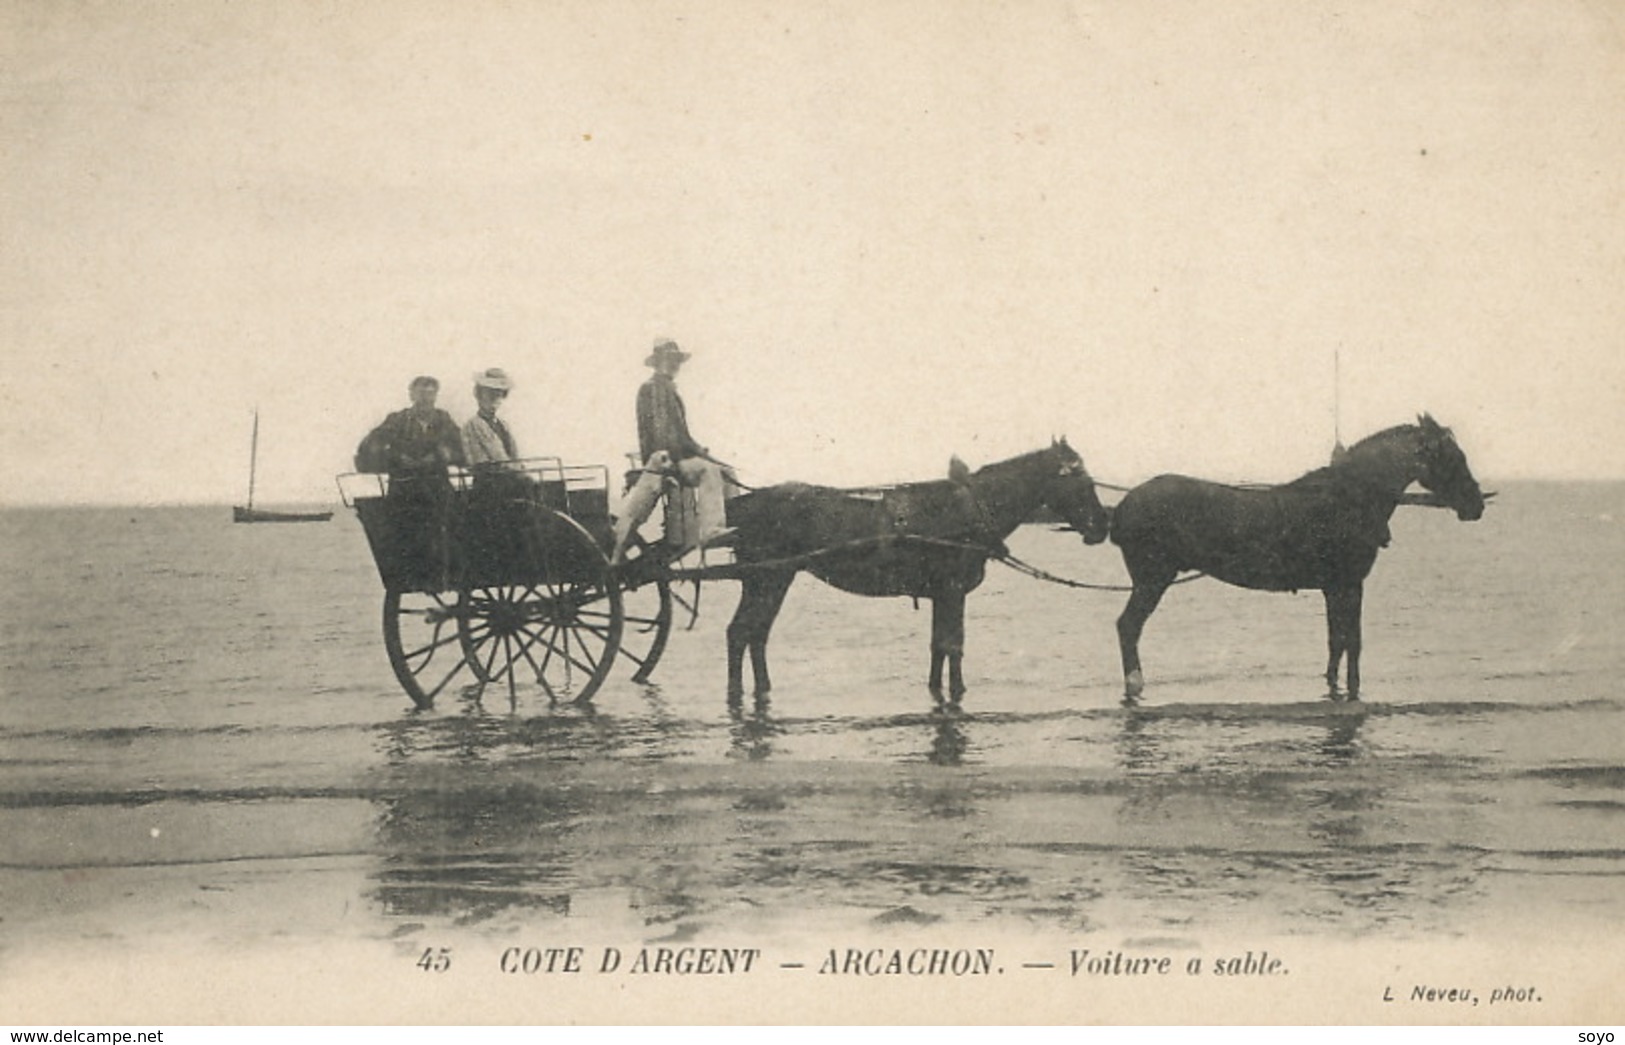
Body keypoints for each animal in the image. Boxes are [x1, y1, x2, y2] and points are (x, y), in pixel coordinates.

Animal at [728, 438, 1118, 698]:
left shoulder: (941, 595)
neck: (971, 509)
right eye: (1082, 482)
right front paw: (958, 690)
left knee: (754, 634)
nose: (1102, 526)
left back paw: (762, 688)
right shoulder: (953, 591)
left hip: (769, 578)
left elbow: (938, 645)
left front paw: (936, 688)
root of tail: (744, 503)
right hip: (769, 577)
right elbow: (954, 644)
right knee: (740, 632)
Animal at [1118, 416, 1488, 702]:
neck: (1349, 498)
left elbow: (1336, 641)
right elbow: (1353, 641)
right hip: (1152, 581)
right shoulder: (1349, 584)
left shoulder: (1333, 588)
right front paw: (1354, 689)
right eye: (1453, 457)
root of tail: (1124, 504)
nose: (1476, 504)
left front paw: (1333, 685)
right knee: (1128, 626)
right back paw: (1135, 683)